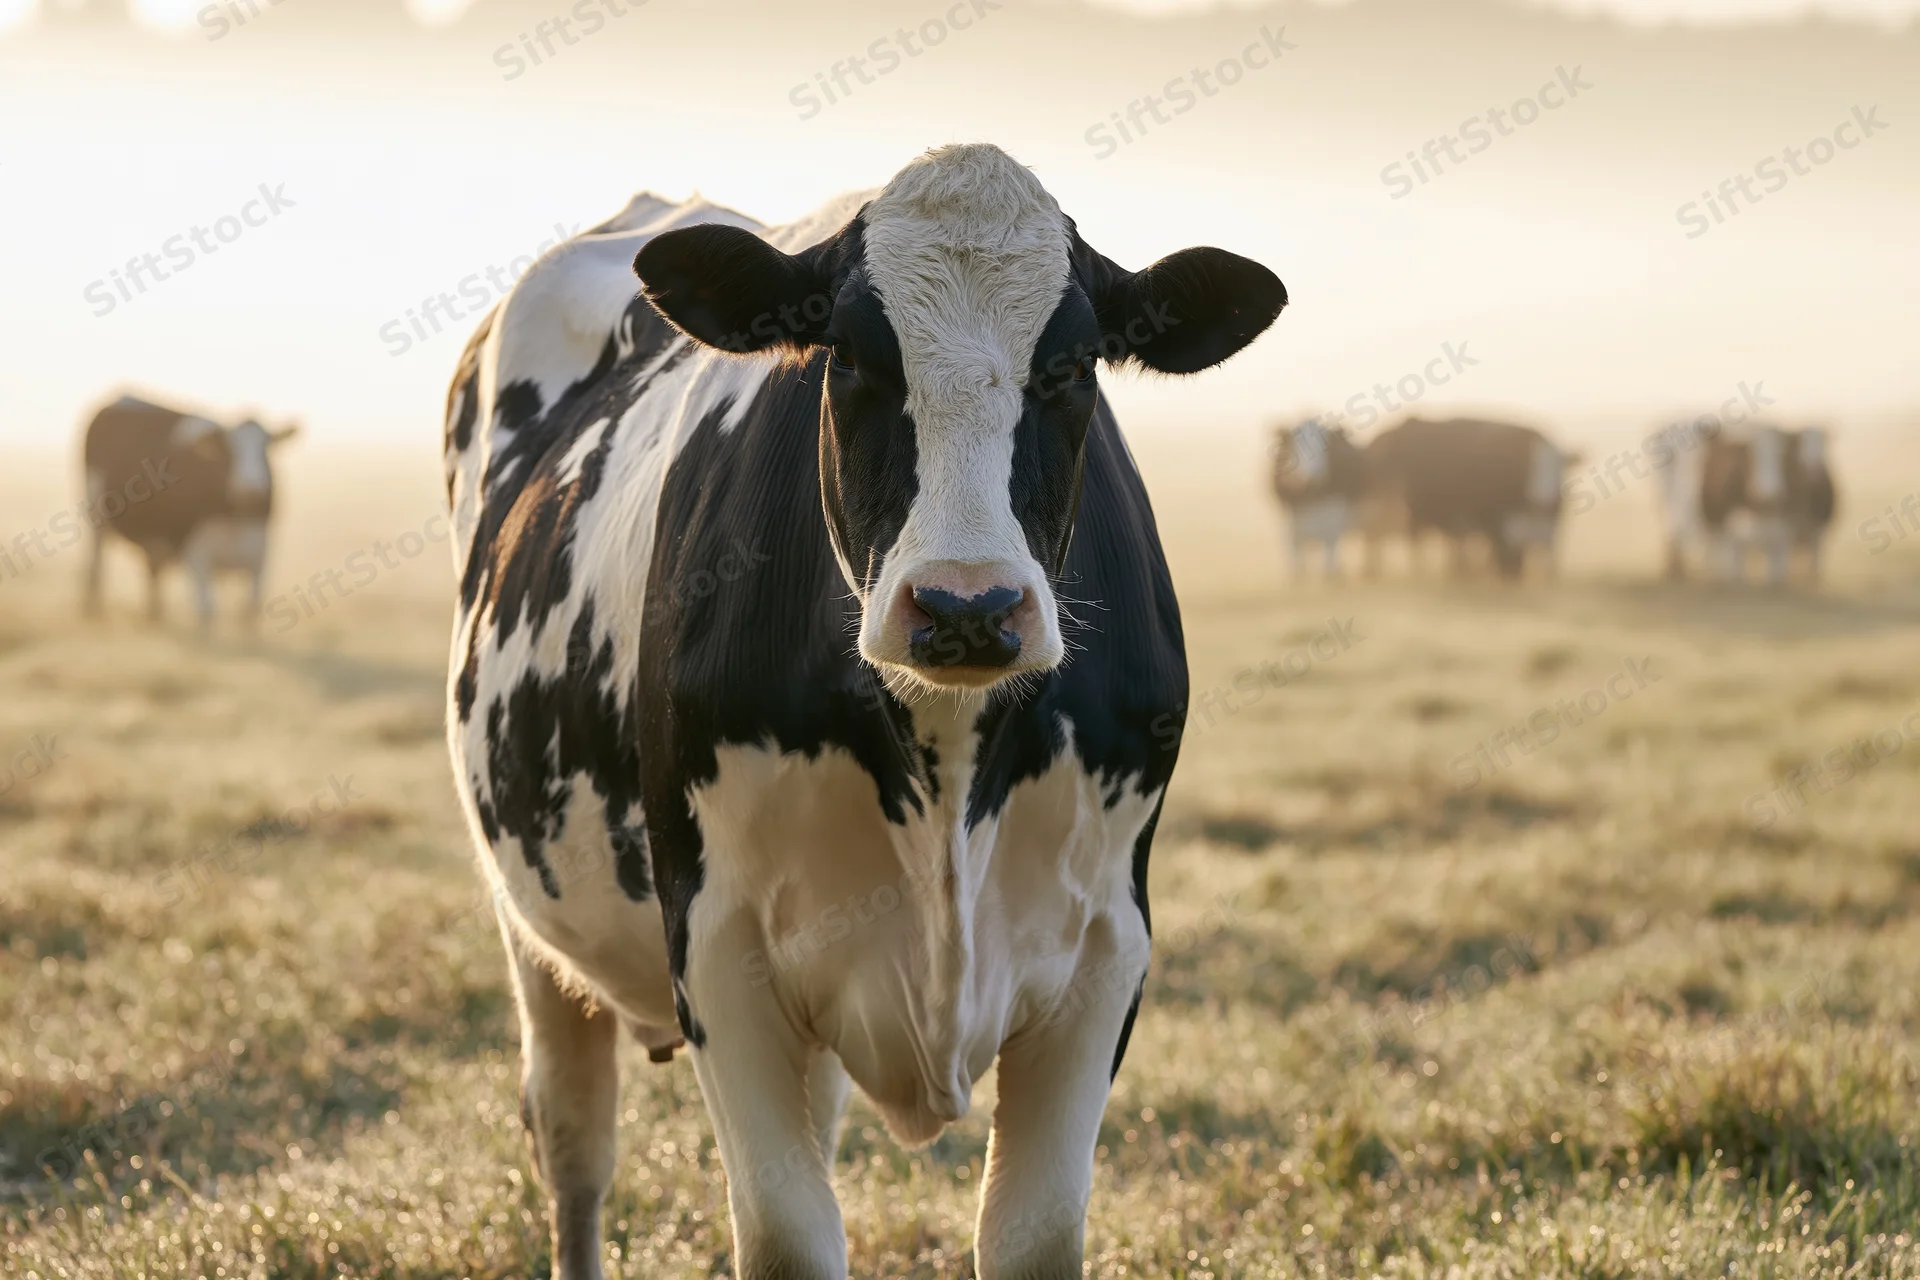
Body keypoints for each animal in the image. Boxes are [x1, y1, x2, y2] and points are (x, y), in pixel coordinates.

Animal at [80, 394, 298, 625]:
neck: (235, 520)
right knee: (96, 565)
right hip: (97, 514)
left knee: (152, 573)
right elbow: (207, 610)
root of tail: (123, 397)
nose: (251, 489)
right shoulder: (196, 553)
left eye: (266, 448)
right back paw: (94, 613)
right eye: (228, 450)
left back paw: (154, 618)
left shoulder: (260, 554)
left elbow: (251, 610)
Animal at [442, 144, 1286, 1280]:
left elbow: (1033, 1233)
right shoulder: (715, 944)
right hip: (529, 914)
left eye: (1073, 368)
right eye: (845, 359)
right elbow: (788, 1234)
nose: (967, 605)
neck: (947, 764)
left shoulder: (1109, 946)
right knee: (574, 1141)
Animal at [1269, 417, 1367, 578]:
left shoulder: (1335, 508)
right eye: (1297, 443)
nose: (1312, 476)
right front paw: (1297, 574)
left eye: (1326, 445)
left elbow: (1330, 539)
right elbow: (1295, 542)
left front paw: (1331, 572)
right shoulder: (1292, 512)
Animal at [1658, 423, 1835, 584]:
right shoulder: (1731, 535)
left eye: (1783, 454)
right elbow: (1736, 571)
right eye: (1750, 454)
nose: (1768, 493)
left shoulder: (1785, 533)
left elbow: (1777, 572)